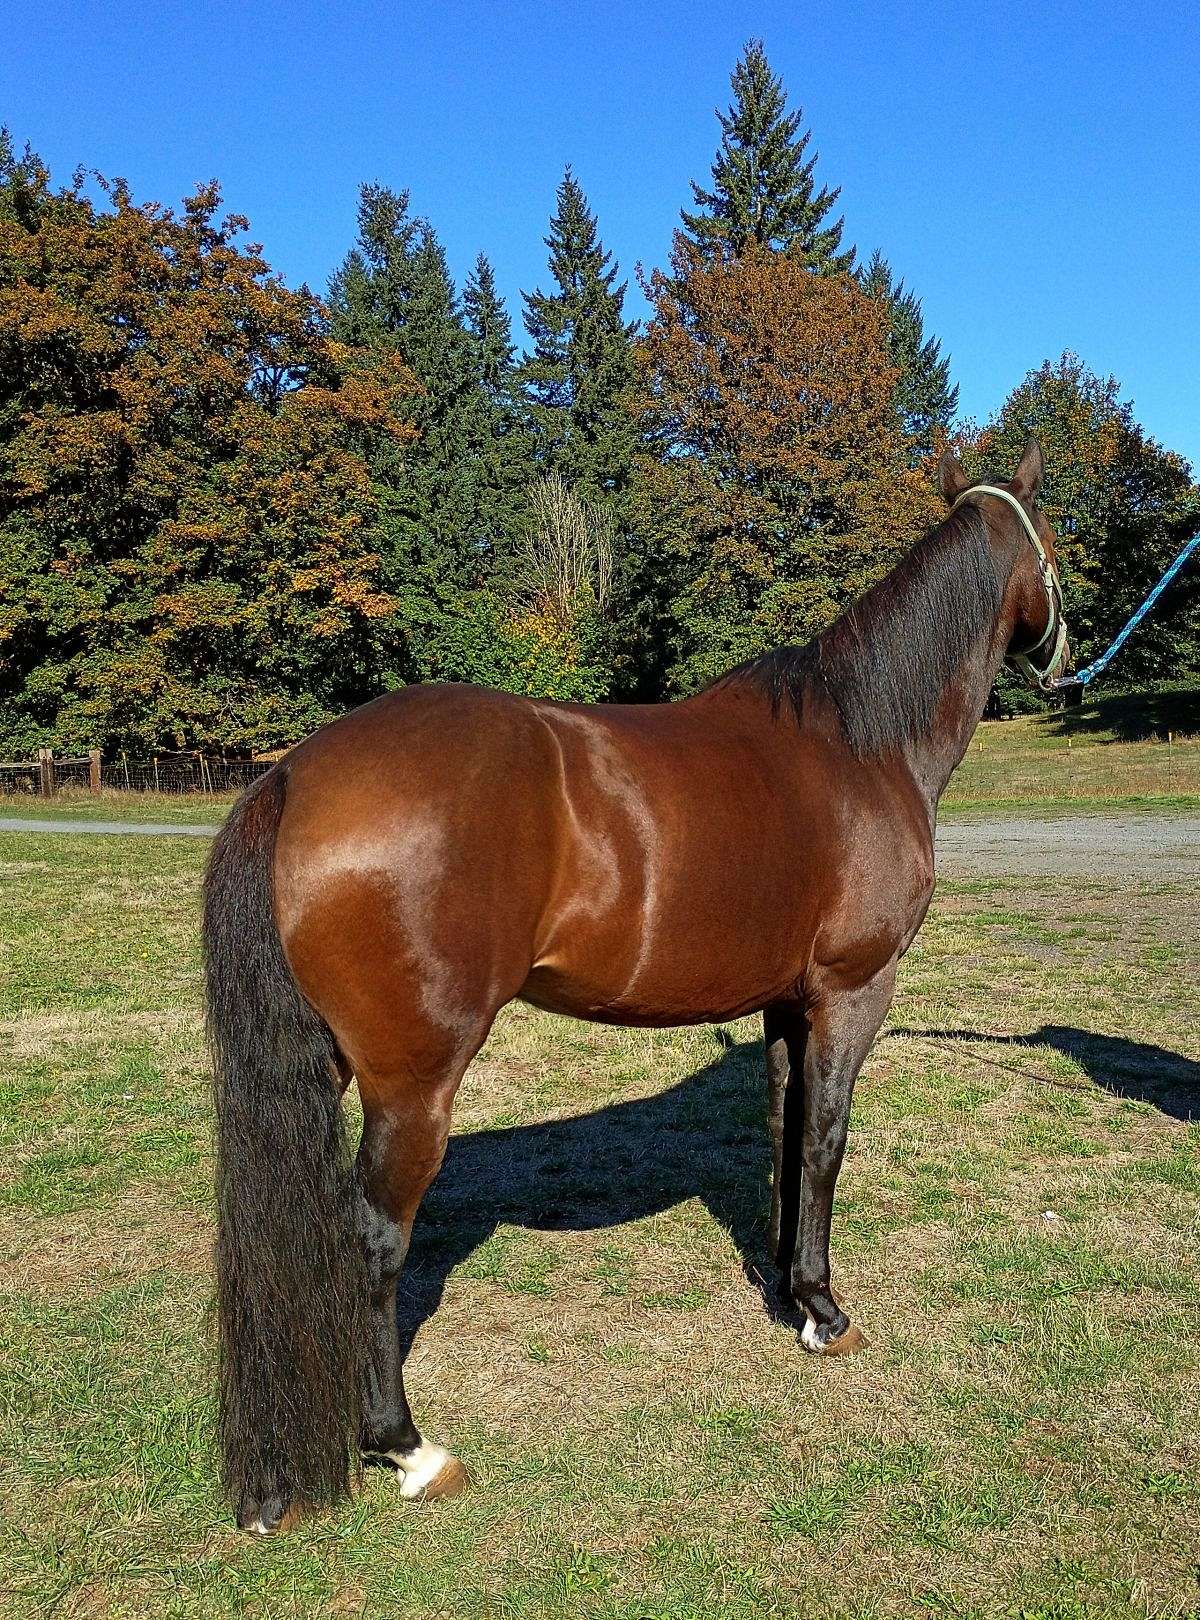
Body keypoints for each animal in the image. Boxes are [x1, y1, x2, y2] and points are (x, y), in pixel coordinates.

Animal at [203, 438, 1069, 1533]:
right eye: (1055, 541)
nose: (1066, 654)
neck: (861, 740)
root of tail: (295, 775)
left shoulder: (785, 1003)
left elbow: (783, 1133)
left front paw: (784, 1291)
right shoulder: (851, 991)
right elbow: (826, 1141)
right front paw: (826, 1311)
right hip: (414, 1084)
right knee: (373, 1237)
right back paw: (406, 1447)